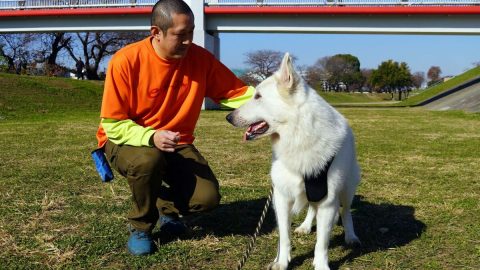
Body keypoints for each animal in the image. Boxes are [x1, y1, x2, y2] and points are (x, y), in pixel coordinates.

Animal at [226, 53, 360, 270]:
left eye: (258, 96)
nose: (228, 117)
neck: (299, 136)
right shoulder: (281, 198)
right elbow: (284, 236)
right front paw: (281, 261)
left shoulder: (328, 203)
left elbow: (322, 243)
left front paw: (321, 265)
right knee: (311, 210)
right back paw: (305, 226)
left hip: (347, 189)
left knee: (346, 212)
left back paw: (351, 236)